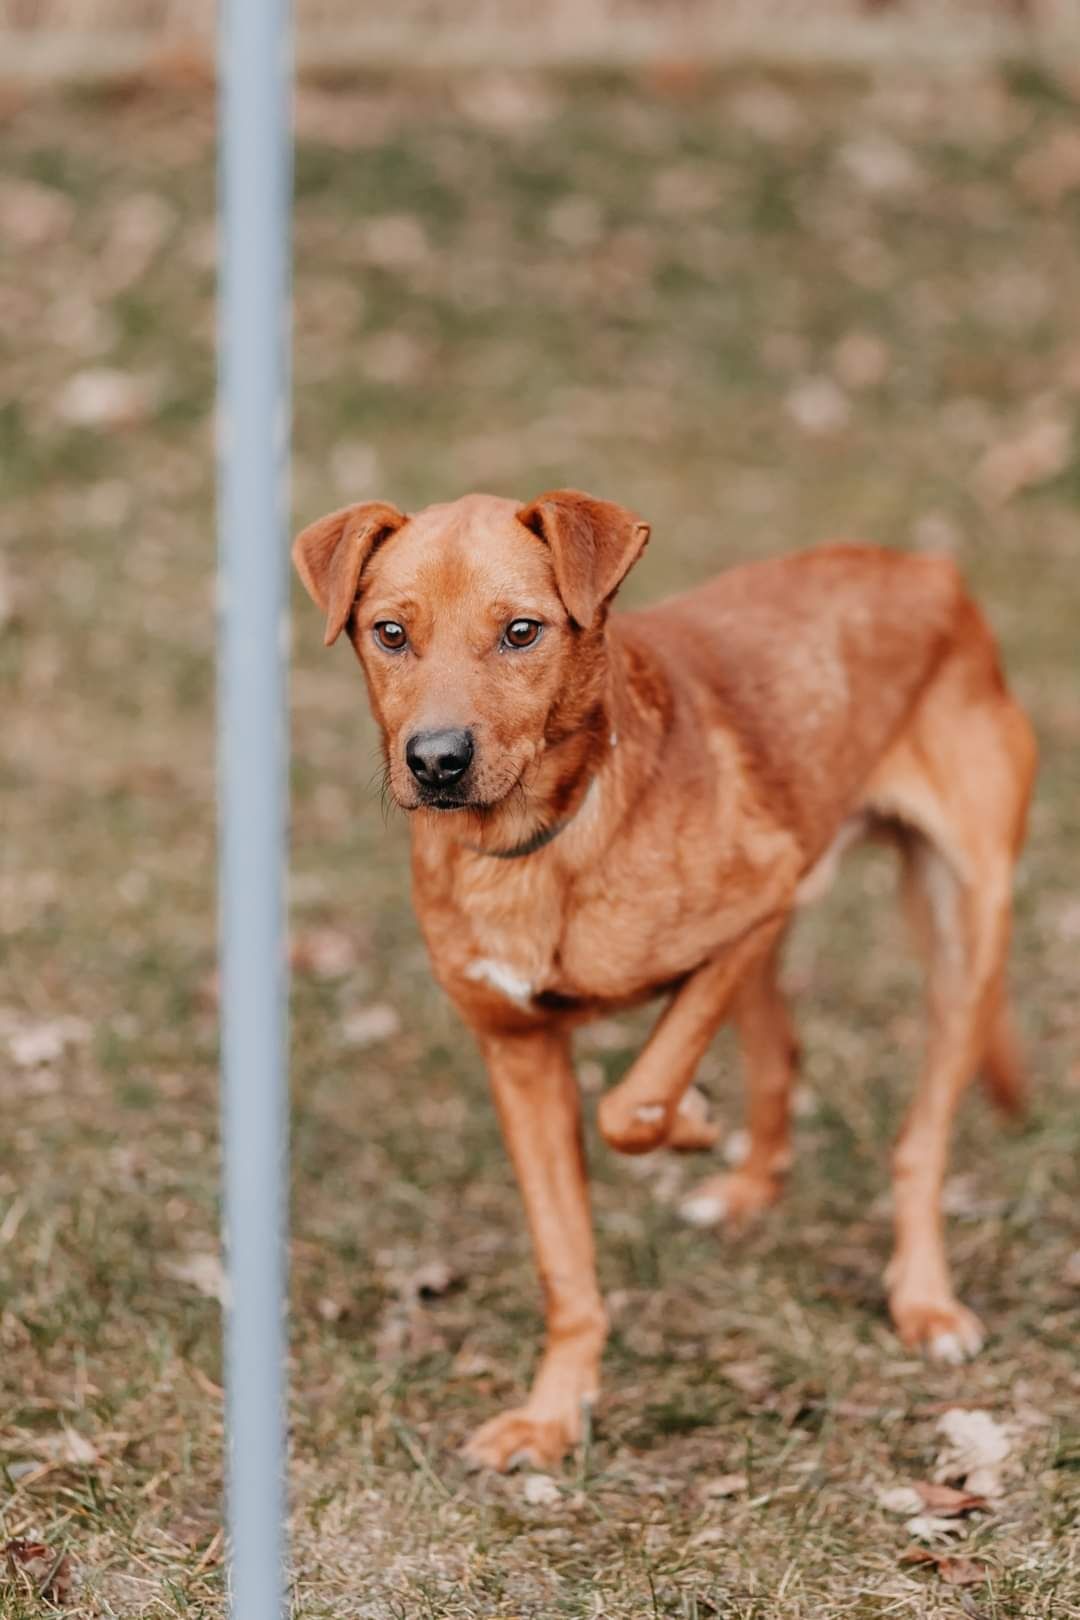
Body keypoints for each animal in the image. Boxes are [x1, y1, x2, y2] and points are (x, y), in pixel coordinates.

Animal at [291, 486, 1036, 1477]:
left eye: (522, 631)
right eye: (390, 633)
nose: (437, 761)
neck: (542, 848)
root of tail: (926, 568)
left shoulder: (754, 910)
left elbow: (632, 1103)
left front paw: (688, 1122)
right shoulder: (518, 1052)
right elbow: (565, 1262)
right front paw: (553, 1415)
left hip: (963, 927)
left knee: (920, 1140)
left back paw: (924, 1300)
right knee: (781, 1051)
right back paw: (747, 1188)